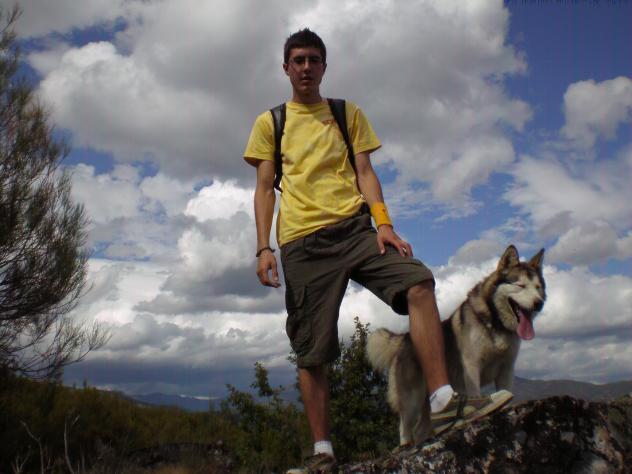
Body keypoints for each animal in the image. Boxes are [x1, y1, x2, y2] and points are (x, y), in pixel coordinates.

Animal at [366, 245, 546, 446]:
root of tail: (405, 337)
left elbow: (506, 390)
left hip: (427, 403)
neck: (495, 322)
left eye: (538, 288)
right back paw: (407, 445)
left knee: (420, 429)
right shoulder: (472, 368)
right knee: (404, 428)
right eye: (520, 285)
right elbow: (476, 393)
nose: (539, 303)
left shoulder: (506, 369)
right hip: (411, 399)